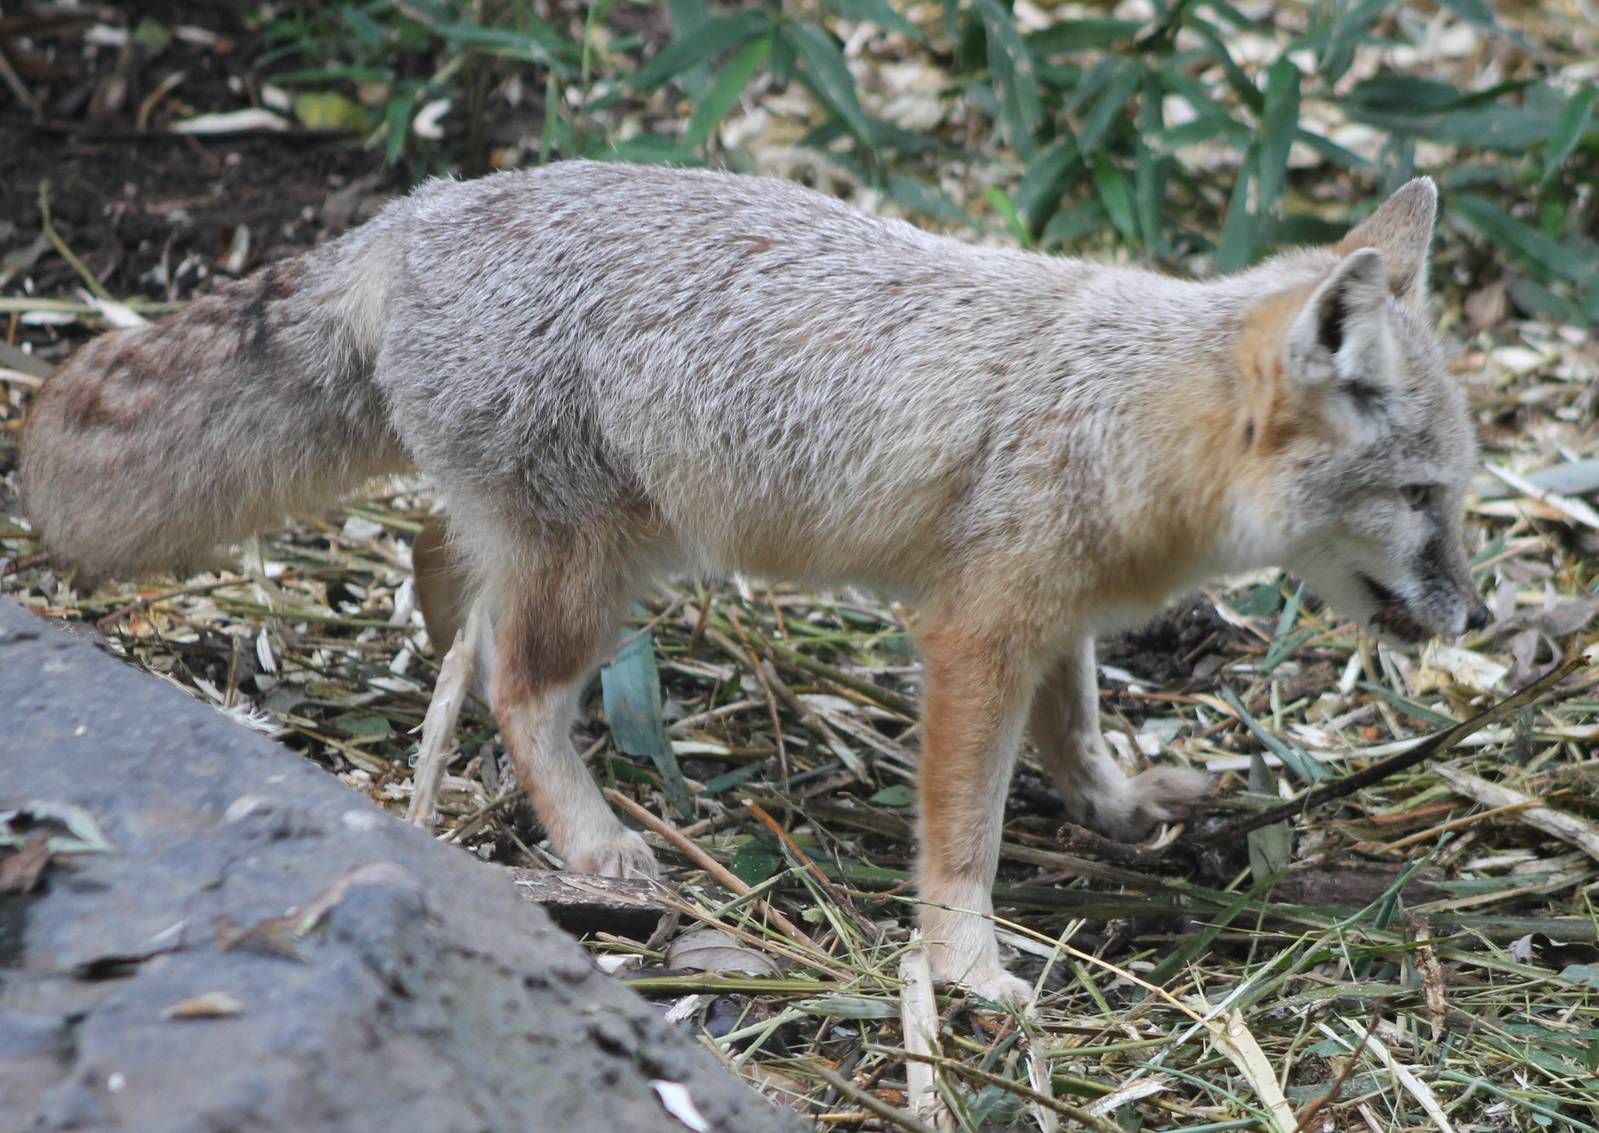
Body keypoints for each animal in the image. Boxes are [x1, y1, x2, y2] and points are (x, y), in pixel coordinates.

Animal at [20, 161, 1486, 1004]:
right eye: (1423, 499)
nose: (1476, 615)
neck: (1110, 409)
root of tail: (405, 216)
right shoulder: (974, 633)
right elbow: (963, 831)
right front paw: (964, 965)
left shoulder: (1047, 620)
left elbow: (1076, 734)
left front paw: (1120, 810)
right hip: (600, 567)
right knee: (520, 685)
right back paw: (589, 839)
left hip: (561, 537)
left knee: (447, 571)